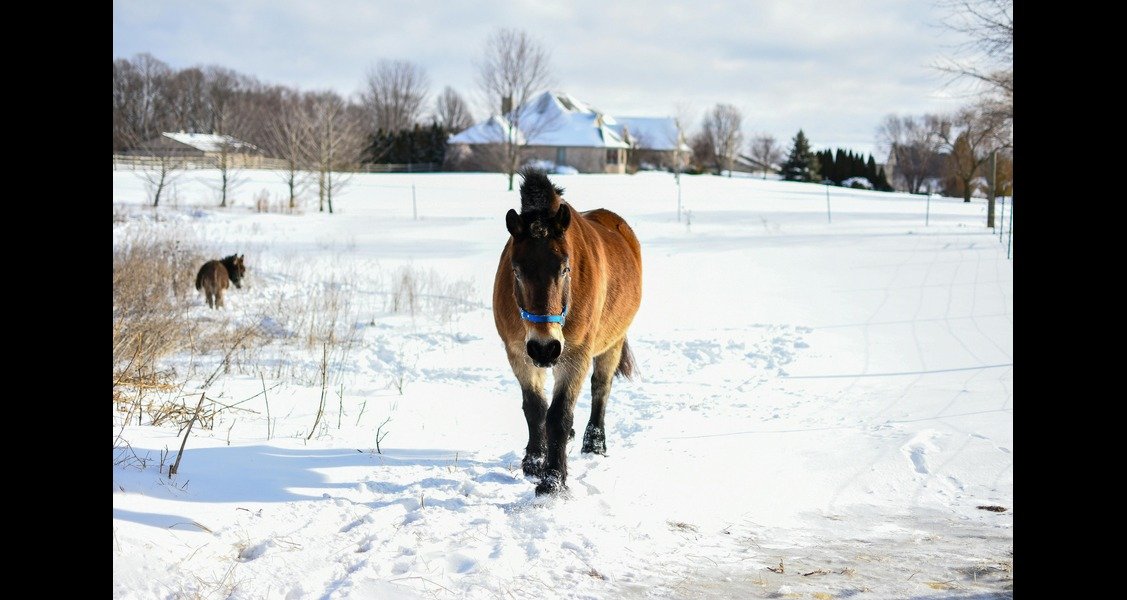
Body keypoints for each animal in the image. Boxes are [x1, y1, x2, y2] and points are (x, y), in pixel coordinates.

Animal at [493, 168, 643, 495]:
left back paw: (594, 443)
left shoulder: (576, 354)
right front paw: (534, 463)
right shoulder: (518, 353)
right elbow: (536, 409)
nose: (544, 347)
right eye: (516, 270)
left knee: (601, 388)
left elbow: (559, 415)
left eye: (565, 269)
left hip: (612, 343)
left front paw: (553, 480)